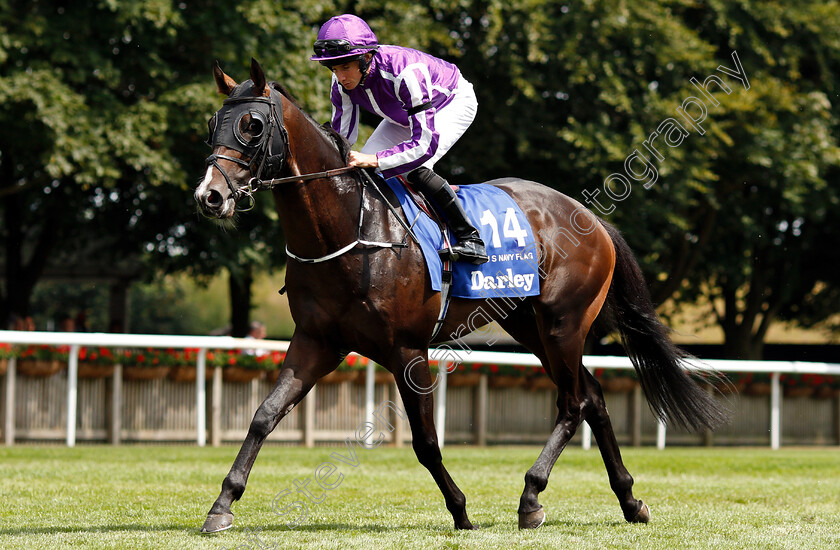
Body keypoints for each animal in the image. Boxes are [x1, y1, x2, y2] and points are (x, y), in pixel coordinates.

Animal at [194, 59, 724, 536]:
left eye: (252, 125)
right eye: (212, 125)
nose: (209, 197)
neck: (349, 227)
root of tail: (592, 219)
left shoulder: (408, 350)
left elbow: (426, 442)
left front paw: (461, 511)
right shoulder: (317, 340)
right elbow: (263, 416)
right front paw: (221, 506)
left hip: (564, 323)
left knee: (573, 402)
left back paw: (532, 497)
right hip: (527, 324)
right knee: (592, 397)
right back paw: (630, 500)